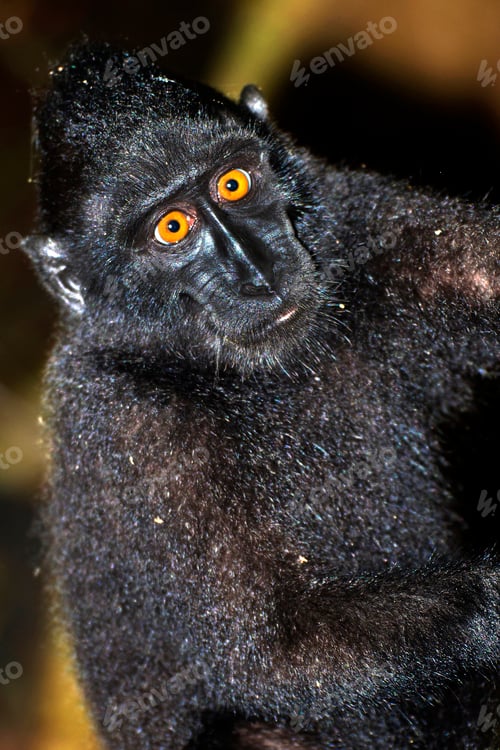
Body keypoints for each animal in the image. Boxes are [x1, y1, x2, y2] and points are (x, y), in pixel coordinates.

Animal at [23, 40, 499, 749]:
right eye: (171, 228)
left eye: (233, 184)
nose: (256, 270)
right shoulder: (127, 425)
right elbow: (272, 648)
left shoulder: (363, 213)